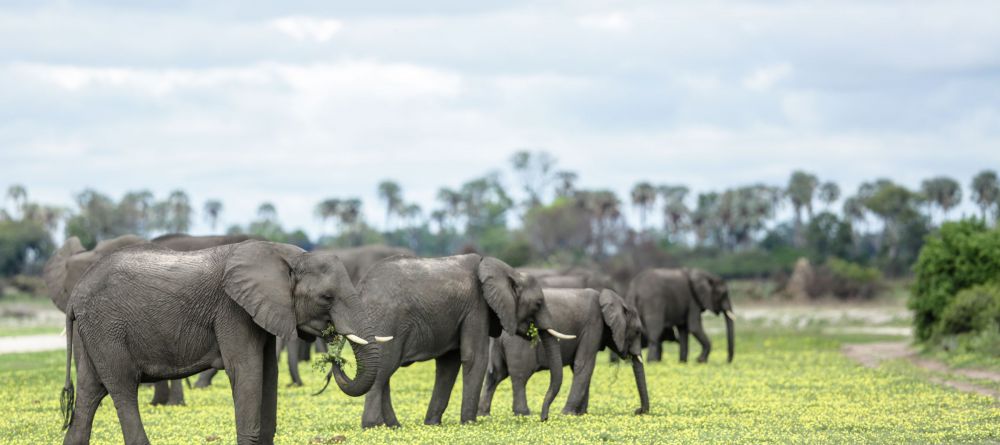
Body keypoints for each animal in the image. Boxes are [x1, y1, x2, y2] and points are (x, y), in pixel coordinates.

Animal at [58, 239, 386, 444]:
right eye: (326, 297)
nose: (335, 359)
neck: (288, 255)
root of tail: (75, 294)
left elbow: (268, 373)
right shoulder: (232, 311)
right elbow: (246, 372)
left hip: (93, 332)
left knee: (89, 392)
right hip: (107, 328)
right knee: (122, 387)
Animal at [356, 253, 576, 426]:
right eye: (538, 303)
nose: (543, 418)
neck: (507, 271)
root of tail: (362, 287)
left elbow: (448, 365)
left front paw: (433, 424)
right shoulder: (477, 307)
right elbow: (475, 358)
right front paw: (469, 423)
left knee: (384, 373)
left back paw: (393, 426)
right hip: (387, 323)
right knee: (383, 370)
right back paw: (372, 426)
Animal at [480, 288, 652, 416]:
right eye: (638, 331)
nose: (637, 411)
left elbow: (580, 368)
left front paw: (580, 414)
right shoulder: (593, 325)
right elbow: (584, 365)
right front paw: (567, 414)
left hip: (497, 345)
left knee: (495, 375)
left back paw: (484, 415)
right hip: (518, 344)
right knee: (520, 377)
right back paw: (524, 414)